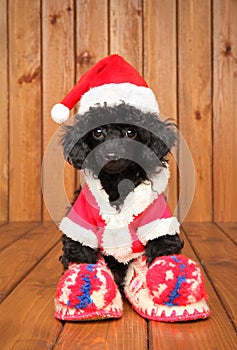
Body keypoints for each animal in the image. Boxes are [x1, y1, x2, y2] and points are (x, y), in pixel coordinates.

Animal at [58, 102, 183, 288]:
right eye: (97, 132)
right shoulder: (81, 218)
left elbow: (163, 244)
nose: (111, 154)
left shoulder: (157, 218)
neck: (117, 183)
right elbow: (80, 250)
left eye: (130, 132)